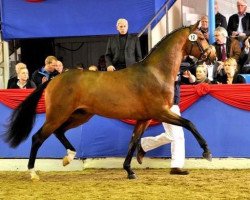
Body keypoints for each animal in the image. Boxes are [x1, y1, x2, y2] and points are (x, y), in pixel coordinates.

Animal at [3, 21, 216, 180]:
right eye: (201, 38)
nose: (212, 56)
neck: (155, 73)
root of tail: (54, 79)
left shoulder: (145, 118)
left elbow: (134, 141)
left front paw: (129, 170)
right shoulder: (161, 111)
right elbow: (189, 123)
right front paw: (207, 152)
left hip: (80, 115)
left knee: (59, 132)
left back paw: (69, 157)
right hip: (58, 114)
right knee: (38, 137)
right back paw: (33, 172)